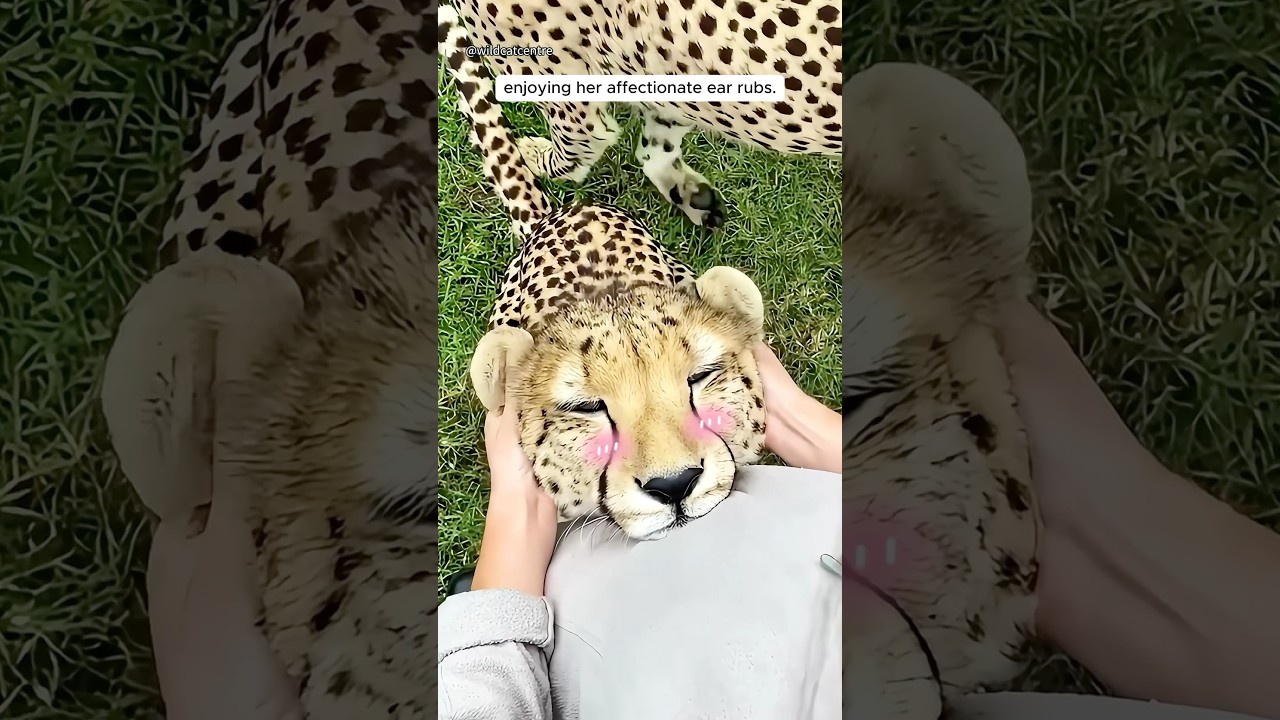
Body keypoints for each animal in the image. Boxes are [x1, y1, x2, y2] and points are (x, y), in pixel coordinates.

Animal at [446, 0, 841, 228]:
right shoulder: (673, 82)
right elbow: (654, 147)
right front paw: (690, 194)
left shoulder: (568, 107)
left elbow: (570, 157)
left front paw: (533, 155)